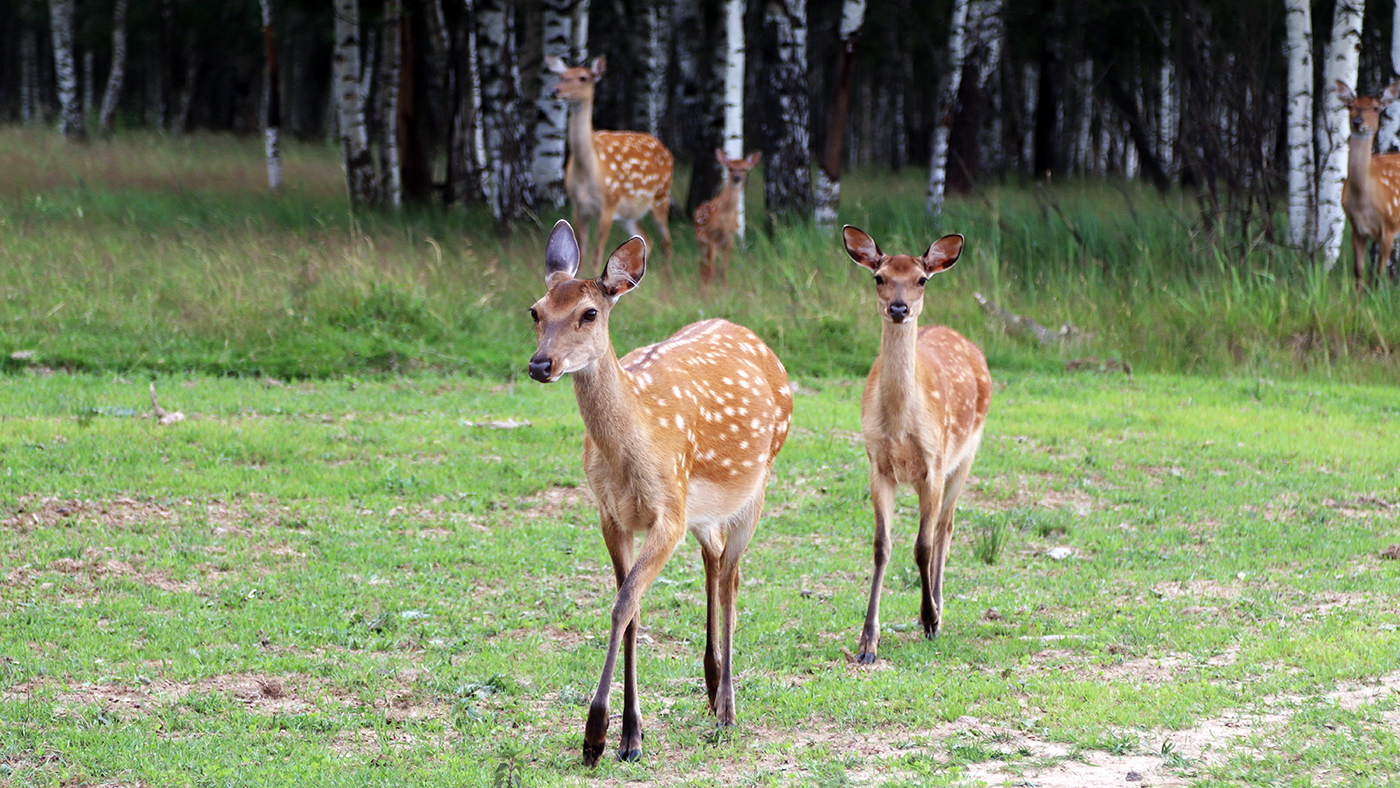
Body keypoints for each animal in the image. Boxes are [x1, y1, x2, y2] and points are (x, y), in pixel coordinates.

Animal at [526, 221, 795, 767]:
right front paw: (631, 734)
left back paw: (727, 708)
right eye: (536, 311)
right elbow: (630, 609)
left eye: (589, 312)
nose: (541, 364)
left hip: (755, 487)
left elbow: (623, 604)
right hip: (703, 511)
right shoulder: (611, 515)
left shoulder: (667, 512)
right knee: (716, 559)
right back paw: (711, 685)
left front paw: (598, 734)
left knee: (732, 577)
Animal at [543, 55, 674, 271]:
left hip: (661, 196)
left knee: (666, 242)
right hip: (630, 213)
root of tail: (667, 151)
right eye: (562, 76)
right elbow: (581, 256)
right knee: (646, 239)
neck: (590, 169)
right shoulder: (578, 208)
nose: (555, 91)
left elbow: (597, 256)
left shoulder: (609, 204)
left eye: (583, 77)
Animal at [691, 149, 761, 293]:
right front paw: (708, 293)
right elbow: (712, 268)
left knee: (706, 264)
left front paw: (724, 291)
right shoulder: (711, 237)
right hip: (701, 241)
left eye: (745, 169)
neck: (725, 216)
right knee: (704, 264)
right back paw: (703, 288)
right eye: (730, 168)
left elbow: (724, 268)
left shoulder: (730, 238)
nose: (736, 178)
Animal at [834, 225, 991, 663]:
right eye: (879, 277)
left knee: (945, 528)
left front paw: (930, 618)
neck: (900, 427)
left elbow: (922, 545)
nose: (899, 308)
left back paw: (937, 608)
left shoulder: (933, 463)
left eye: (921, 279)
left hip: (966, 453)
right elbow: (881, 546)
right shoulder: (877, 465)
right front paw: (867, 642)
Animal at [1332, 79, 1400, 292]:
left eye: (1376, 108)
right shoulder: (1356, 229)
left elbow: (1378, 274)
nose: (1357, 122)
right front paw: (1358, 300)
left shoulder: (1389, 226)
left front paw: (1377, 298)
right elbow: (1359, 271)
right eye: (1350, 106)